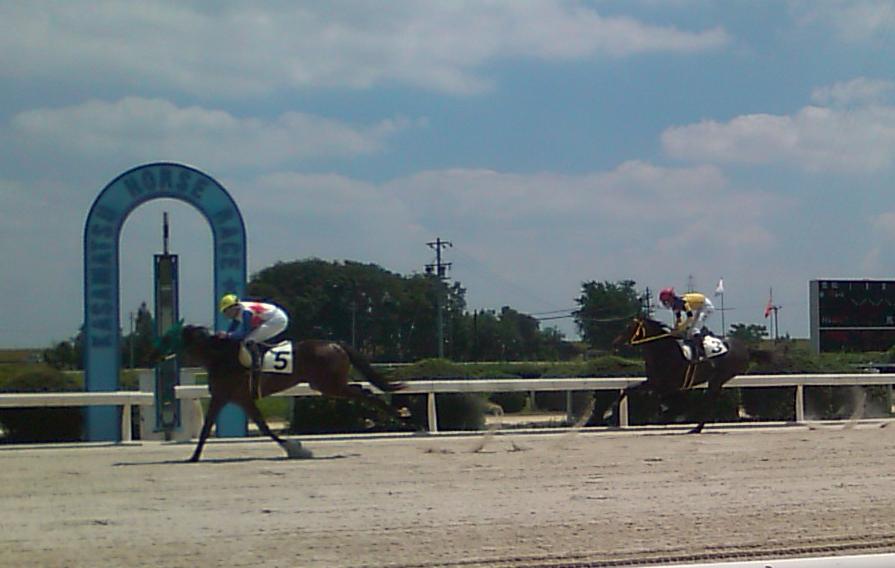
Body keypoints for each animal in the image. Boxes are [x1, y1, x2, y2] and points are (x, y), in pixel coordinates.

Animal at [154, 323, 410, 462]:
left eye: (168, 336)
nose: (153, 355)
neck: (222, 357)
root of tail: (336, 344)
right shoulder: (231, 398)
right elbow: (211, 428)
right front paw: (193, 457)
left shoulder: (234, 397)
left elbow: (262, 428)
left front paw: (296, 449)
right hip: (328, 384)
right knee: (363, 390)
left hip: (329, 385)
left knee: (365, 393)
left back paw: (401, 417)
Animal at [588, 316, 762, 434]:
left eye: (629, 327)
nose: (615, 343)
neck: (664, 352)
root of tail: (745, 348)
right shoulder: (653, 381)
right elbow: (628, 389)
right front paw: (612, 416)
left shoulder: (666, 385)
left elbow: (662, 399)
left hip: (719, 378)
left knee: (709, 401)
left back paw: (696, 428)